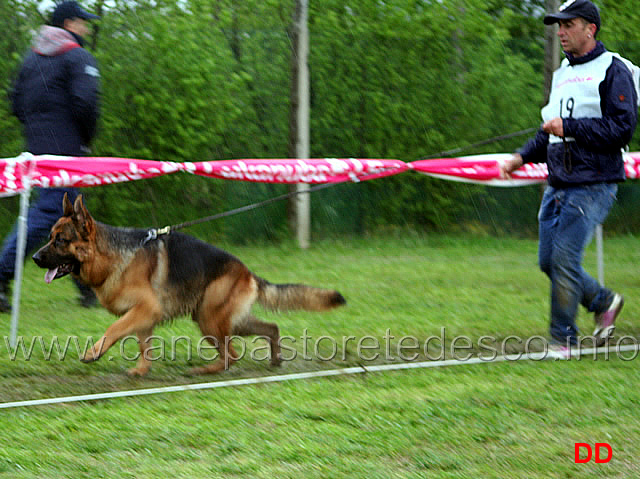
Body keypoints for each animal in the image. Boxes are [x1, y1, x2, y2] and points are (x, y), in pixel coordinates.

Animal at [33, 193, 344, 376]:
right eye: (50, 237)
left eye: (61, 241)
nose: (35, 257)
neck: (111, 256)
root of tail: (247, 272)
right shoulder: (143, 316)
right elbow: (143, 344)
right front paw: (141, 371)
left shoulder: (145, 309)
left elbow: (115, 329)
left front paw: (93, 353)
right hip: (223, 319)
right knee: (269, 329)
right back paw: (274, 360)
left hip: (209, 319)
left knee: (232, 354)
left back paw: (204, 371)